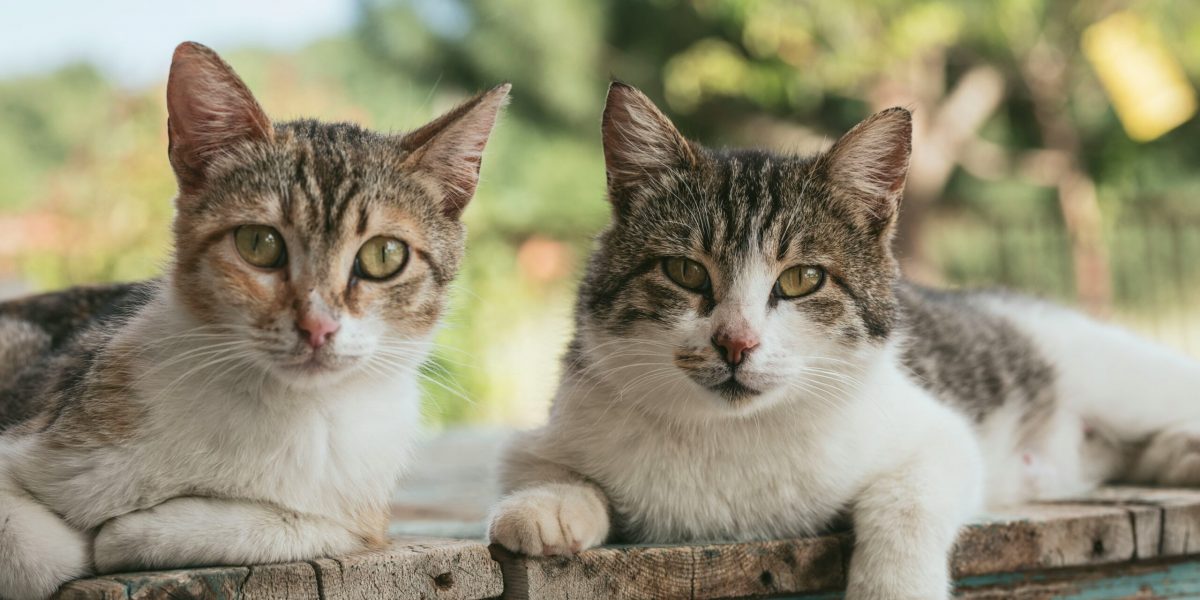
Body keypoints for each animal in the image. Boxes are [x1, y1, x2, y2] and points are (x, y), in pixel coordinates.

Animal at [0, 42, 506, 600]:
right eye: (259, 244)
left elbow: (298, 524)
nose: (317, 326)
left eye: (384, 255)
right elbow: (40, 551)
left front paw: (133, 532)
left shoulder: (360, 514)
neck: (279, 409)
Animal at [487, 83, 1200, 600]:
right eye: (685, 271)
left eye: (803, 279)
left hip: (1120, 376)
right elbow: (541, 469)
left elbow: (905, 502)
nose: (735, 343)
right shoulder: (554, 423)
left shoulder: (939, 435)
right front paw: (548, 507)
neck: (734, 438)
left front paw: (894, 587)